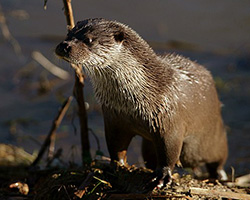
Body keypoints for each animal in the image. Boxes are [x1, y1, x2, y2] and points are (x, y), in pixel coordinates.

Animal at [56, 18, 229, 187]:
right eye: (68, 34)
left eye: (89, 40)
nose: (64, 45)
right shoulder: (114, 119)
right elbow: (115, 146)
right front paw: (116, 166)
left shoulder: (169, 120)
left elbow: (169, 152)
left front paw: (163, 176)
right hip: (148, 147)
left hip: (216, 138)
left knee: (218, 160)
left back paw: (220, 177)